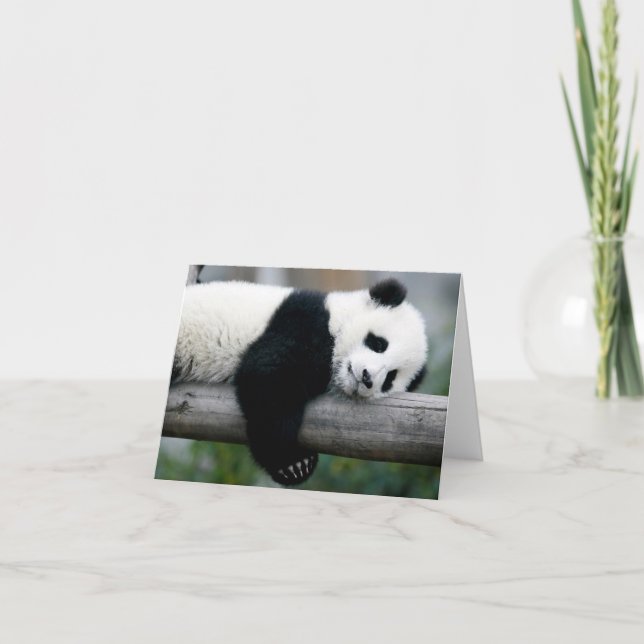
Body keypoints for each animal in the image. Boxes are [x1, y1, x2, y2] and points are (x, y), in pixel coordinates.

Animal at [171, 277, 428, 486]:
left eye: (390, 378)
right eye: (378, 344)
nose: (366, 378)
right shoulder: (306, 322)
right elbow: (268, 378)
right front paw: (293, 464)